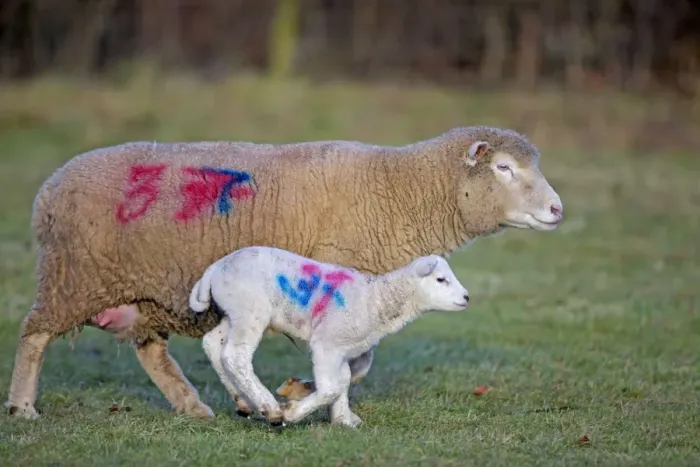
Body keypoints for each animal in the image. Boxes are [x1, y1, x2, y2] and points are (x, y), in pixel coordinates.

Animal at [189, 246, 470, 427]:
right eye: (441, 279)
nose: (467, 297)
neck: (376, 300)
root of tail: (215, 269)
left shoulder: (343, 349)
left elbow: (344, 379)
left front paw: (343, 419)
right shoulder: (327, 343)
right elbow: (332, 386)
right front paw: (293, 413)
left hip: (233, 313)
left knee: (213, 344)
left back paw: (244, 401)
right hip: (250, 310)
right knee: (236, 355)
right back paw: (270, 408)